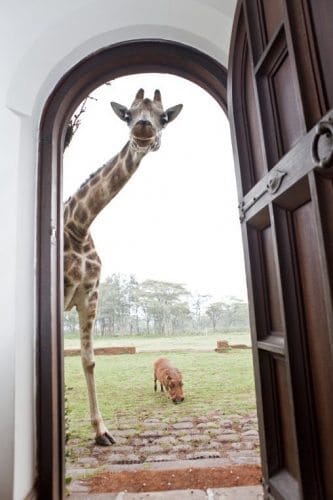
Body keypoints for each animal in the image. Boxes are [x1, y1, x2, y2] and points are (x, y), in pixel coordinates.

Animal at [63, 89, 183, 446]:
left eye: (163, 117)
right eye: (128, 114)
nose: (144, 129)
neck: (78, 225)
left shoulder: (88, 296)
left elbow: (88, 360)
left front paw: (102, 432)